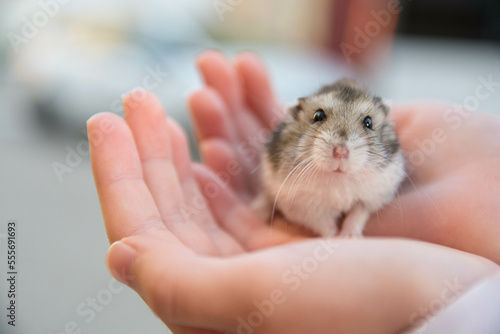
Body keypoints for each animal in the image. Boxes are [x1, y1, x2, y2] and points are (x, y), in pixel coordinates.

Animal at [256, 79, 404, 237]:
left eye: (368, 122)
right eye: (318, 115)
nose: (341, 152)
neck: (338, 178)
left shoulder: (373, 197)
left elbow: (357, 214)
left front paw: (348, 236)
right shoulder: (300, 207)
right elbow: (323, 224)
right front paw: (334, 236)